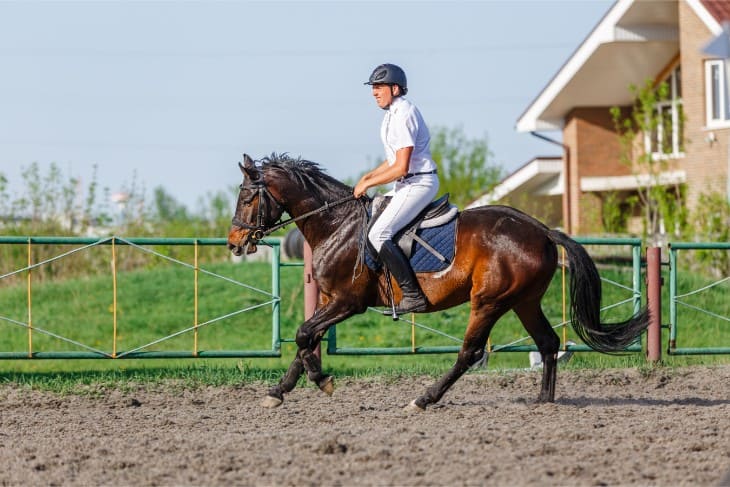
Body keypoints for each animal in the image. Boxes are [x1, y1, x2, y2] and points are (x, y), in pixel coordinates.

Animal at [228, 153, 648, 412]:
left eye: (247, 198)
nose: (234, 243)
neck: (337, 225)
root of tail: (542, 230)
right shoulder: (329, 298)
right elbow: (306, 340)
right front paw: (279, 392)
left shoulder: (348, 302)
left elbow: (303, 336)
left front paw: (322, 380)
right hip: (523, 301)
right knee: (547, 343)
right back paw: (544, 400)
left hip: (489, 302)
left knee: (470, 353)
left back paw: (424, 399)